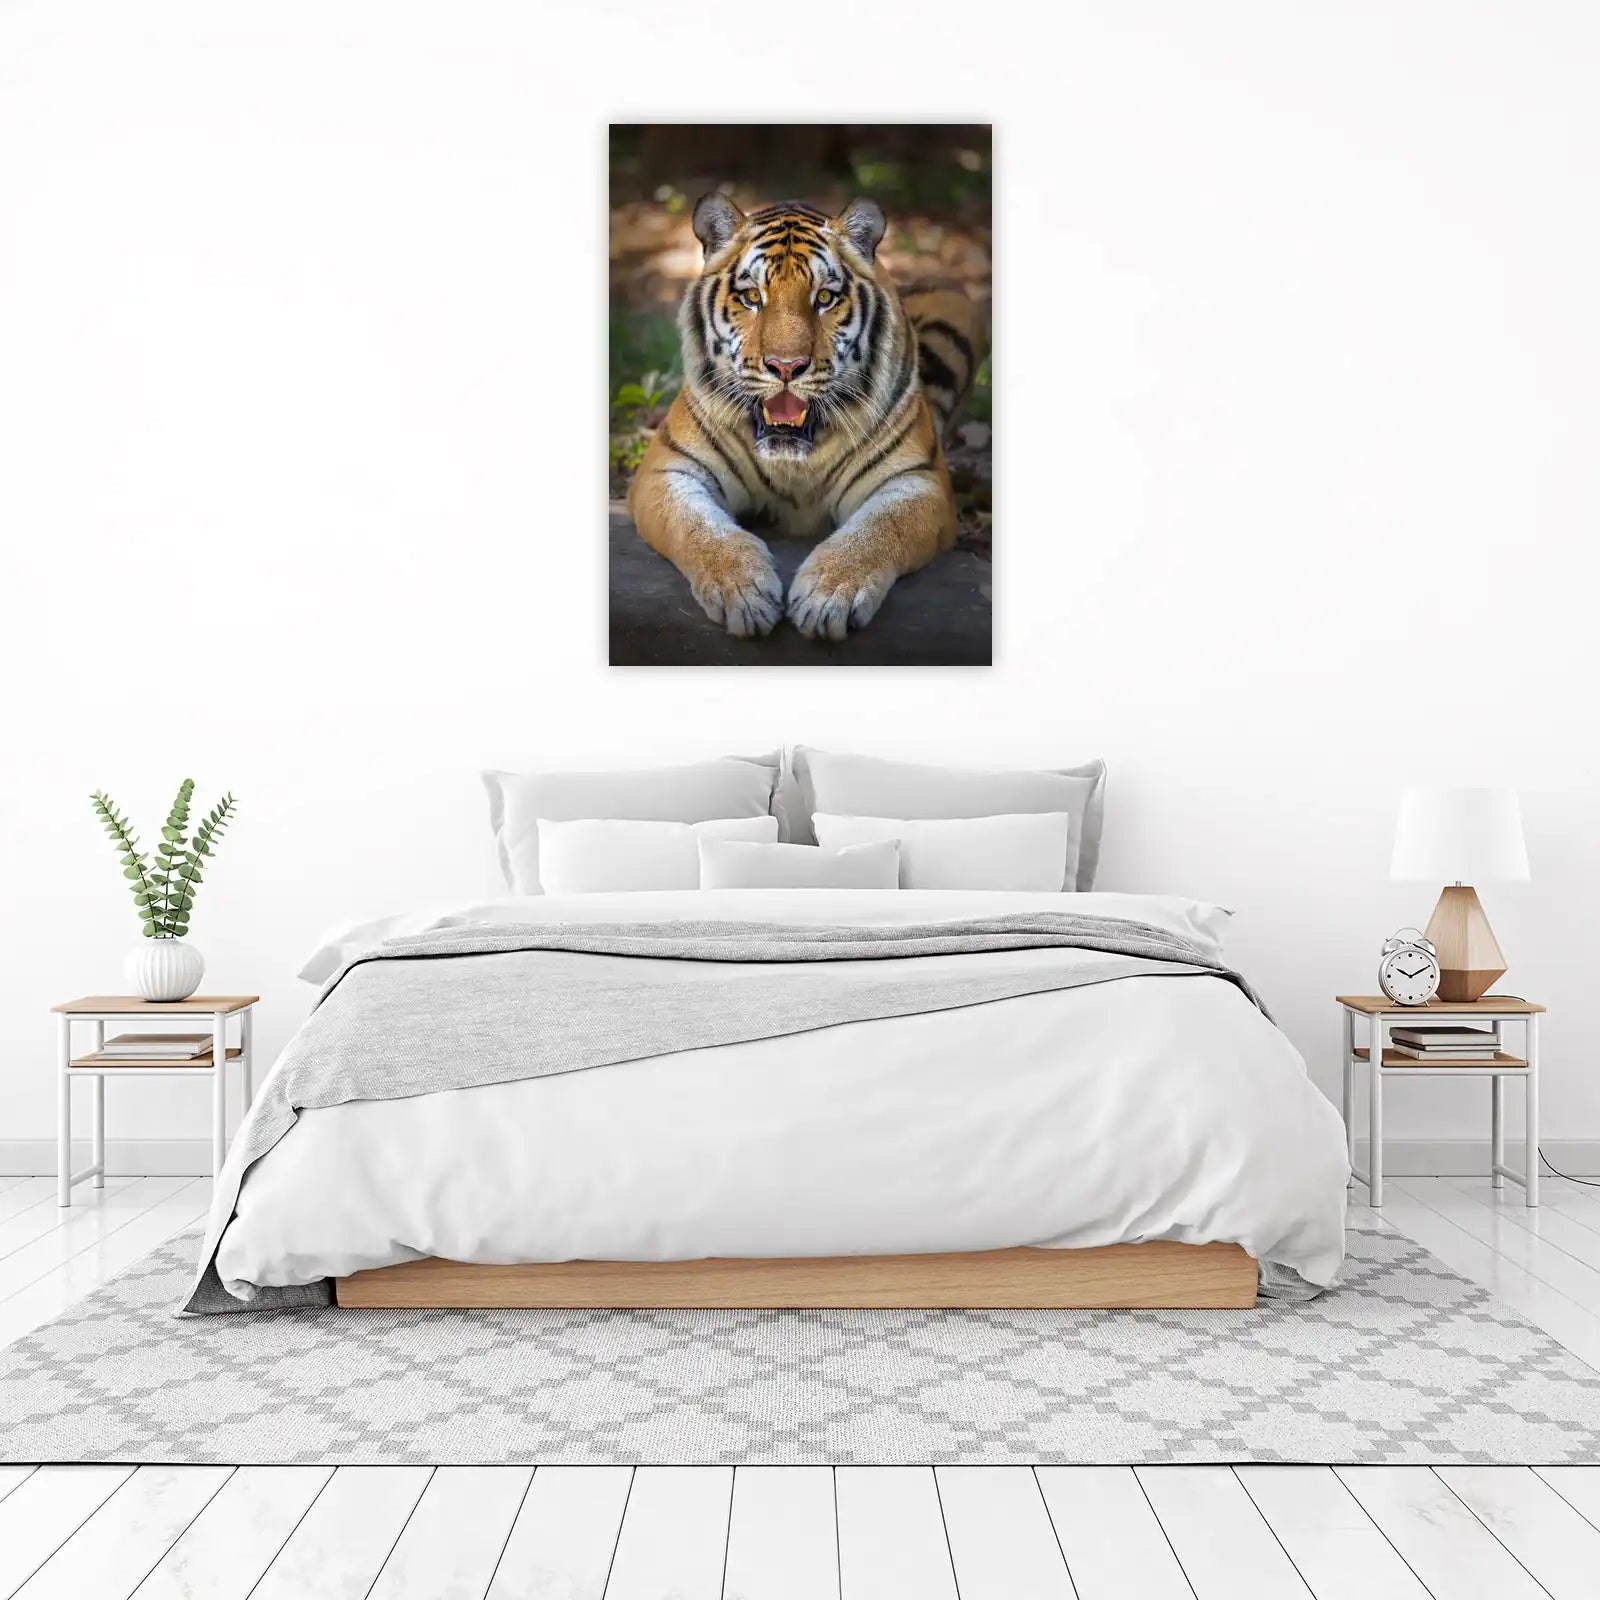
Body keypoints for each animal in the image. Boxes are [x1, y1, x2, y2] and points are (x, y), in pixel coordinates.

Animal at [626, 193, 985, 641]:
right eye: (752, 296)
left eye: (825, 298)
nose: (786, 366)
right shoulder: (668, 469)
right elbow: (698, 528)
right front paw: (743, 591)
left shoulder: (918, 480)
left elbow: (880, 530)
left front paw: (828, 597)